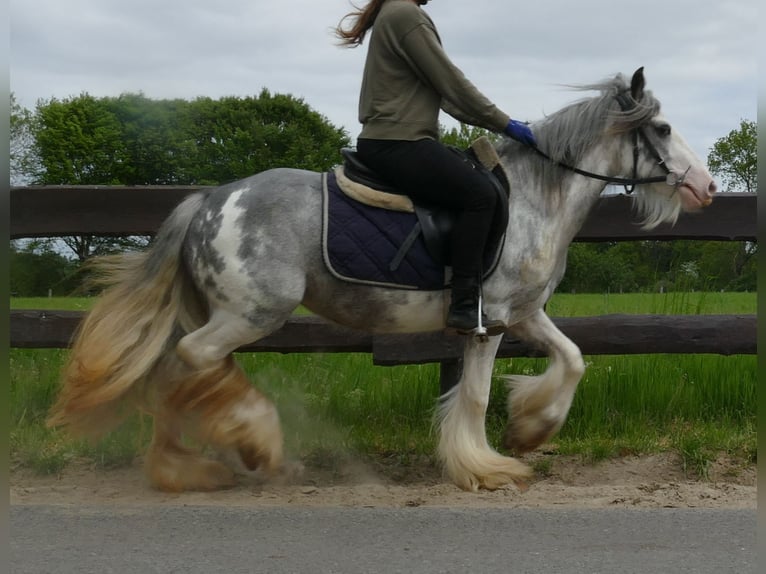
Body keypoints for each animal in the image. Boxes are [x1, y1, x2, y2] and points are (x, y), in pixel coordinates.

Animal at [49, 66, 720, 490]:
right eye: (662, 129)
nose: (707, 187)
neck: (535, 198)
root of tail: (209, 200)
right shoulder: (489, 322)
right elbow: (475, 397)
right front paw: (485, 468)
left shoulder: (523, 313)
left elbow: (574, 359)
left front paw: (531, 430)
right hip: (250, 313)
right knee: (188, 362)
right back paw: (246, 446)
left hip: (227, 314)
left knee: (184, 370)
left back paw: (191, 466)